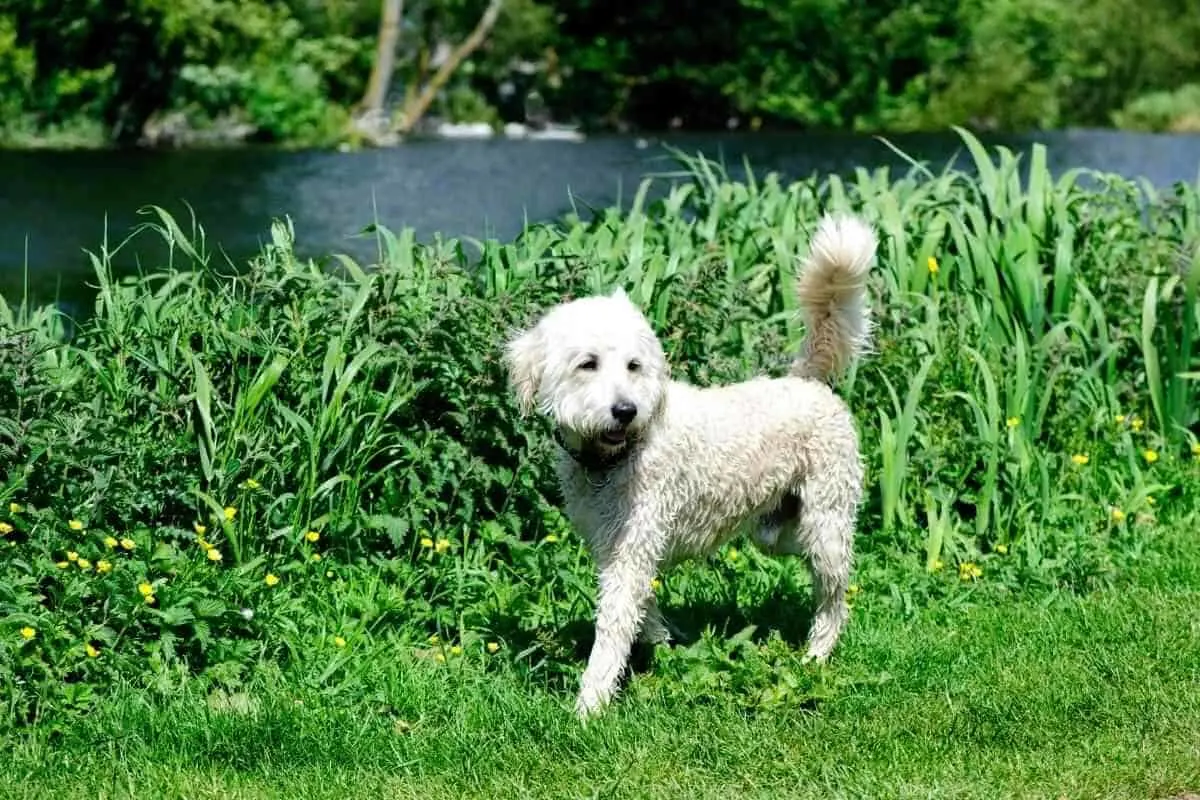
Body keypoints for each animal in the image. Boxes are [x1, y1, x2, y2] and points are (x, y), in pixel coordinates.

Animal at [501, 214, 878, 719]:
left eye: (634, 365)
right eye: (587, 364)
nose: (625, 411)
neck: (617, 457)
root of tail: (807, 381)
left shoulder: (632, 546)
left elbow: (613, 627)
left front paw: (590, 705)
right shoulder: (614, 547)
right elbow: (642, 607)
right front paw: (662, 642)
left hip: (827, 524)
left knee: (835, 597)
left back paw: (816, 655)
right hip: (776, 533)